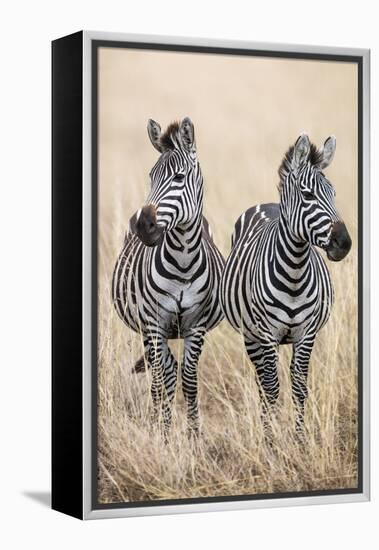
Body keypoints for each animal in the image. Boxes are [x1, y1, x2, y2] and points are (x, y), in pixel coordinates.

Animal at [113, 118, 226, 438]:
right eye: (151, 177)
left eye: (179, 177)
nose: (143, 225)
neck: (183, 262)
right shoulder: (154, 323)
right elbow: (162, 378)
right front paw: (162, 433)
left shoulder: (196, 326)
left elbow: (189, 379)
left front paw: (194, 435)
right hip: (147, 330)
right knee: (158, 373)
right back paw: (156, 422)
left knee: (172, 370)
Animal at [220, 135, 354, 436]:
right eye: (308, 195)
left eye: (334, 193)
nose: (344, 243)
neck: (294, 271)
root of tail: (268, 204)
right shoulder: (267, 334)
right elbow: (271, 390)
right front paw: (271, 442)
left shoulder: (307, 334)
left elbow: (299, 388)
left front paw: (300, 438)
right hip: (251, 336)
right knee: (262, 382)